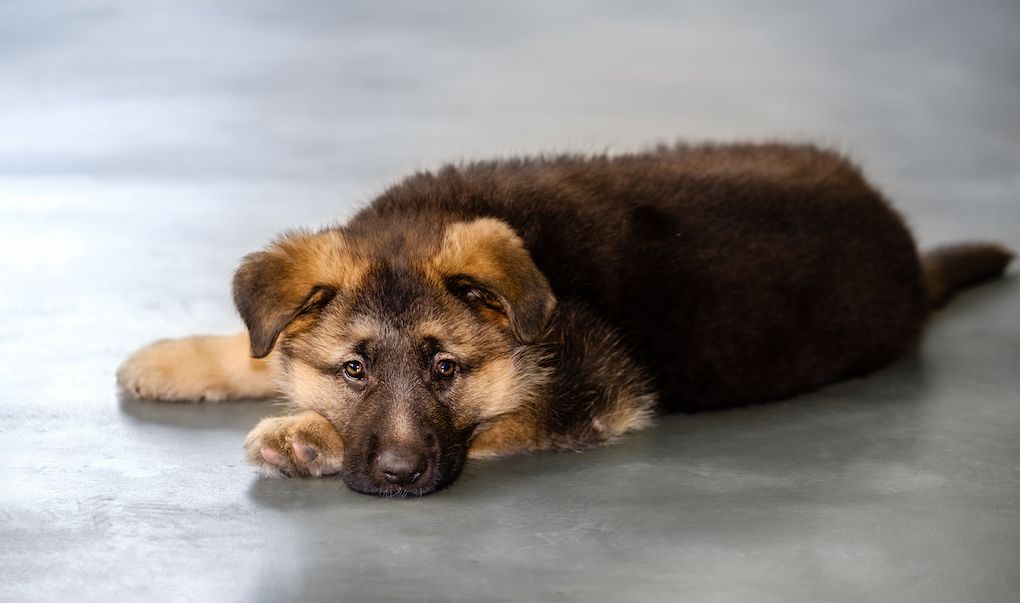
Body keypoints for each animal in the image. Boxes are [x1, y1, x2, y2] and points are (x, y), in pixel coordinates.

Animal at [117, 143, 1011, 497]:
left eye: (447, 369)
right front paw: (179, 358)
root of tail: (907, 247)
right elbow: (261, 347)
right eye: (355, 369)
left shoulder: (592, 396)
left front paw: (307, 435)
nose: (401, 476)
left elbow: (490, 424)